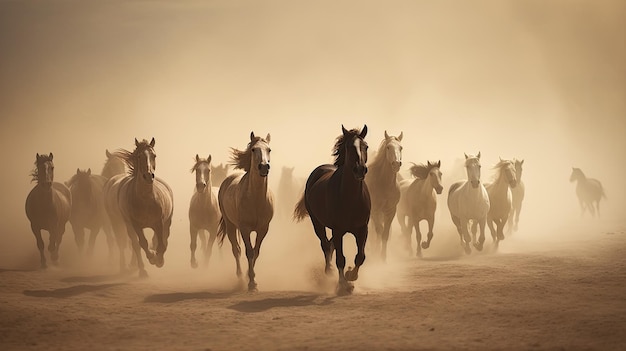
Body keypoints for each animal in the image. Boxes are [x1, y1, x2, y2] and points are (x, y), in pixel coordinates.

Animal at [103, 138, 173, 278]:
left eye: (154, 155)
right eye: (139, 156)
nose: (149, 176)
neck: (146, 199)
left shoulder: (159, 223)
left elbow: (161, 244)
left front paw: (159, 260)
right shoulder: (135, 225)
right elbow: (142, 243)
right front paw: (152, 257)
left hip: (167, 221)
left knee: (162, 238)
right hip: (120, 223)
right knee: (130, 243)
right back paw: (135, 268)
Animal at [216, 131, 272, 292]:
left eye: (269, 149)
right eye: (253, 149)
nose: (264, 167)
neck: (256, 199)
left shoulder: (263, 229)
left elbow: (256, 252)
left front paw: (252, 278)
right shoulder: (244, 229)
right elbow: (249, 252)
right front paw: (251, 283)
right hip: (230, 226)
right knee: (236, 250)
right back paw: (240, 277)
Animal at [294, 125, 370, 296]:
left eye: (366, 146)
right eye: (349, 147)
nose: (360, 169)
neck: (351, 199)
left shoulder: (362, 229)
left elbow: (360, 256)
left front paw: (351, 276)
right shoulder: (338, 230)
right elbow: (340, 259)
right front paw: (343, 285)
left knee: (330, 245)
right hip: (317, 223)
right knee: (325, 244)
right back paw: (328, 271)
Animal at [364, 131, 402, 262]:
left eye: (401, 148)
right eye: (388, 147)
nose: (396, 164)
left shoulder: (390, 211)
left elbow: (385, 233)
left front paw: (383, 257)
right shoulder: (374, 210)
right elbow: (379, 231)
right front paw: (376, 255)